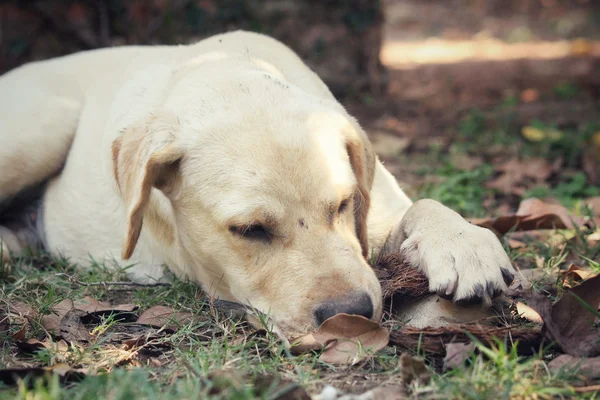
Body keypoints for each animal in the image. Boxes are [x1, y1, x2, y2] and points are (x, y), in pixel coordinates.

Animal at [0, 31, 516, 336]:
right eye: (250, 231)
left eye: (343, 205)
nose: (349, 313)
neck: (229, 74)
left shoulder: (377, 209)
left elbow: (423, 204)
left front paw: (464, 244)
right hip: (42, 127)